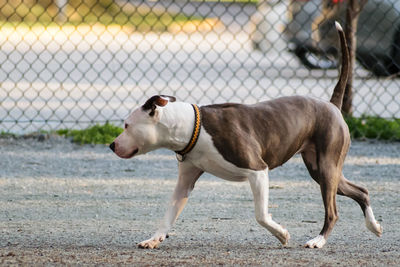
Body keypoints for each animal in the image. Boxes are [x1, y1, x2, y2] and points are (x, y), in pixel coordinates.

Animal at [108, 22, 382, 250]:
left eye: (127, 125)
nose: (111, 145)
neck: (192, 127)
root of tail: (332, 105)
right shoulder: (184, 183)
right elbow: (168, 214)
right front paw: (154, 239)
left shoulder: (258, 170)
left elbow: (261, 214)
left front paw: (281, 234)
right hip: (322, 168)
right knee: (361, 191)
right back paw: (374, 226)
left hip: (326, 167)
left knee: (333, 211)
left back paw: (318, 240)